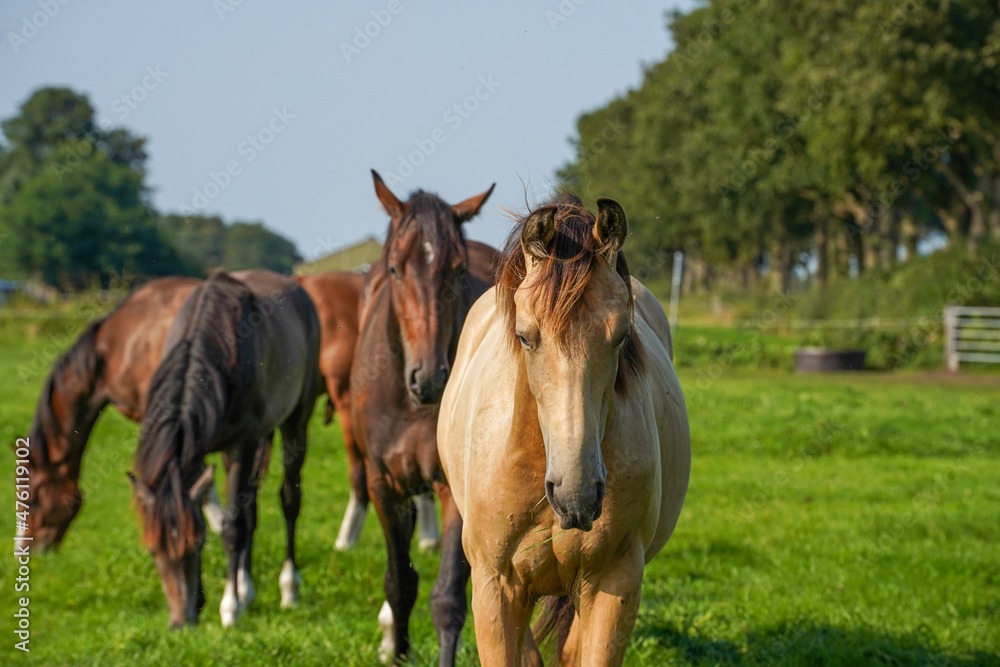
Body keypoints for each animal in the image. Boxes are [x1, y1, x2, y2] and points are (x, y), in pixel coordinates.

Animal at [126, 268, 320, 628]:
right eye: (153, 550)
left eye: (194, 543)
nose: (179, 622)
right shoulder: (201, 451)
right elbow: (218, 512)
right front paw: (213, 598)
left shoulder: (241, 446)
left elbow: (232, 527)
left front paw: (229, 607)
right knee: (251, 508)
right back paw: (246, 587)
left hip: (296, 421)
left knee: (289, 499)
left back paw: (288, 588)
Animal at [352, 171, 500, 664]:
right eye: (396, 269)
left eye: (456, 270)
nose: (430, 376)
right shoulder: (383, 486)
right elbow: (400, 583)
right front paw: (396, 649)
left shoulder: (453, 489)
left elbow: (448, 596)